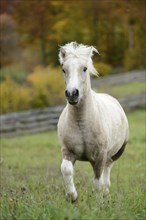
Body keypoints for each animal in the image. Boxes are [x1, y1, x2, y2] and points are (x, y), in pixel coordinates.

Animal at [57, 42, 128, 202]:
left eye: (84, 68)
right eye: (64, 69)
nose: (72, 94)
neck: (81, 122)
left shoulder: (100, 154)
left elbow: (97, 181)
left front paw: (98, 202)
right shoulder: (68, 151)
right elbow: (66, 169)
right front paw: (72, 197)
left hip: (113, 154)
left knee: (106, 172)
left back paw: (105, 195)